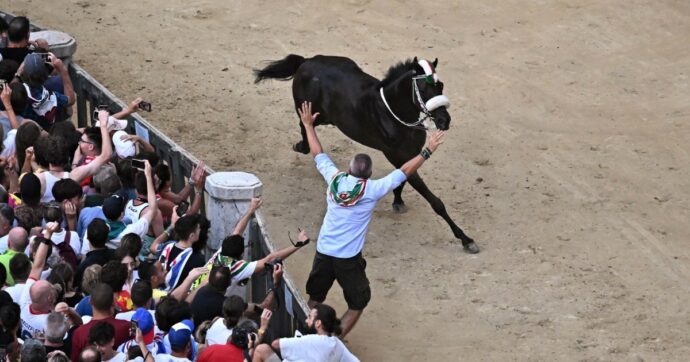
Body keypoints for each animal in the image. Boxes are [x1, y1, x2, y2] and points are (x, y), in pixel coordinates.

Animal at [254, 53, 478, 253]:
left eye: (440, 86)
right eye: (423, 89)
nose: (444, 121)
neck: (394, 113)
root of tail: (306, 61)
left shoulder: (408, 155)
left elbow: (403, 178)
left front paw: (398, 201)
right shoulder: (395, 154)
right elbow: (434, 201)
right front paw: (466, 240)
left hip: (329, 116)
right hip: (312, 110)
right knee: (305, 124)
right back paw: (301, 145)